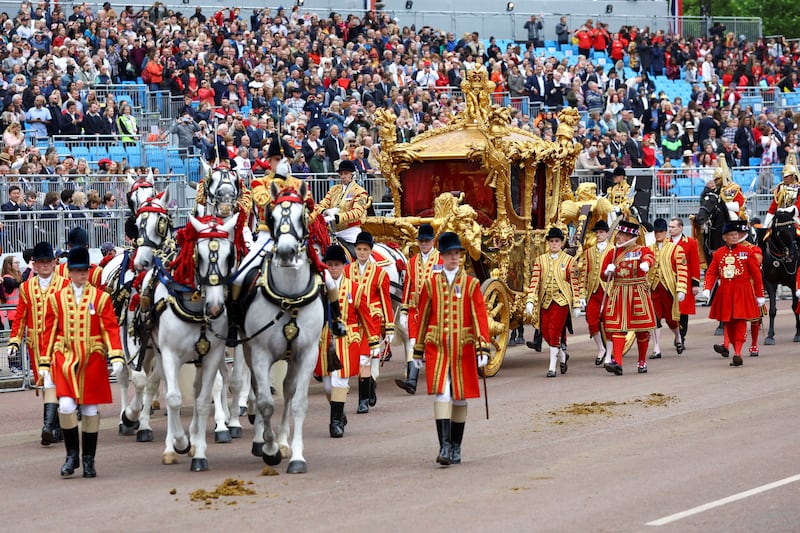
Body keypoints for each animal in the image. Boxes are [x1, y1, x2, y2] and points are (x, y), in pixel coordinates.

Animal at [144, 213, 239, 470]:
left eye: (229, 255)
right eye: (200, 254)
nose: (215, 308)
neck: (196, 310)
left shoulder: (213, 355)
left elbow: (203, 401)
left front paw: (199, 452)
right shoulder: (169, 355)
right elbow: (174, 398)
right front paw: (179, 442)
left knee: (198, 392)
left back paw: (196, 440)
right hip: (159, 355)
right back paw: (171, 447)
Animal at [241, 184, 324, 474]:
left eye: (302, 216)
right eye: (273, 216)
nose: (287, 253)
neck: (289, 297)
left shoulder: (307, 354)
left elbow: (298, 402)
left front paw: (296, 455)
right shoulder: (260, 353)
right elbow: (265, 403)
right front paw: (269, 449)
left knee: (288, 390)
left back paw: (284, 441)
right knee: (258, 389)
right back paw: (262, 440)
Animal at [756, 210, 800, 342]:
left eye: (793, 228)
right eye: (782, 229)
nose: (795, 251)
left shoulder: (793, 283)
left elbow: (795, 307)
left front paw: (798, 334)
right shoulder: (770, 282)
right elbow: (772, 310)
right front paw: (770, 335)